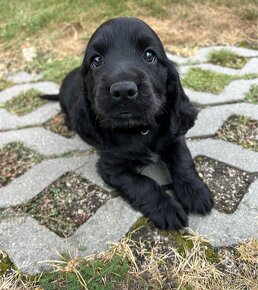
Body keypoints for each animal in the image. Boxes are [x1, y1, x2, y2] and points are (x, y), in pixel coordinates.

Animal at [41, 17, 213, 231]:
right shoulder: (111, 166)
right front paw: (166, 208)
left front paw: (196, 192)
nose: (123, 91)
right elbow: (141, 182)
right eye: (96, 60)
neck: (139, 130)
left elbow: (183, 160)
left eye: (149, 55)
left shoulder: (173, 137)